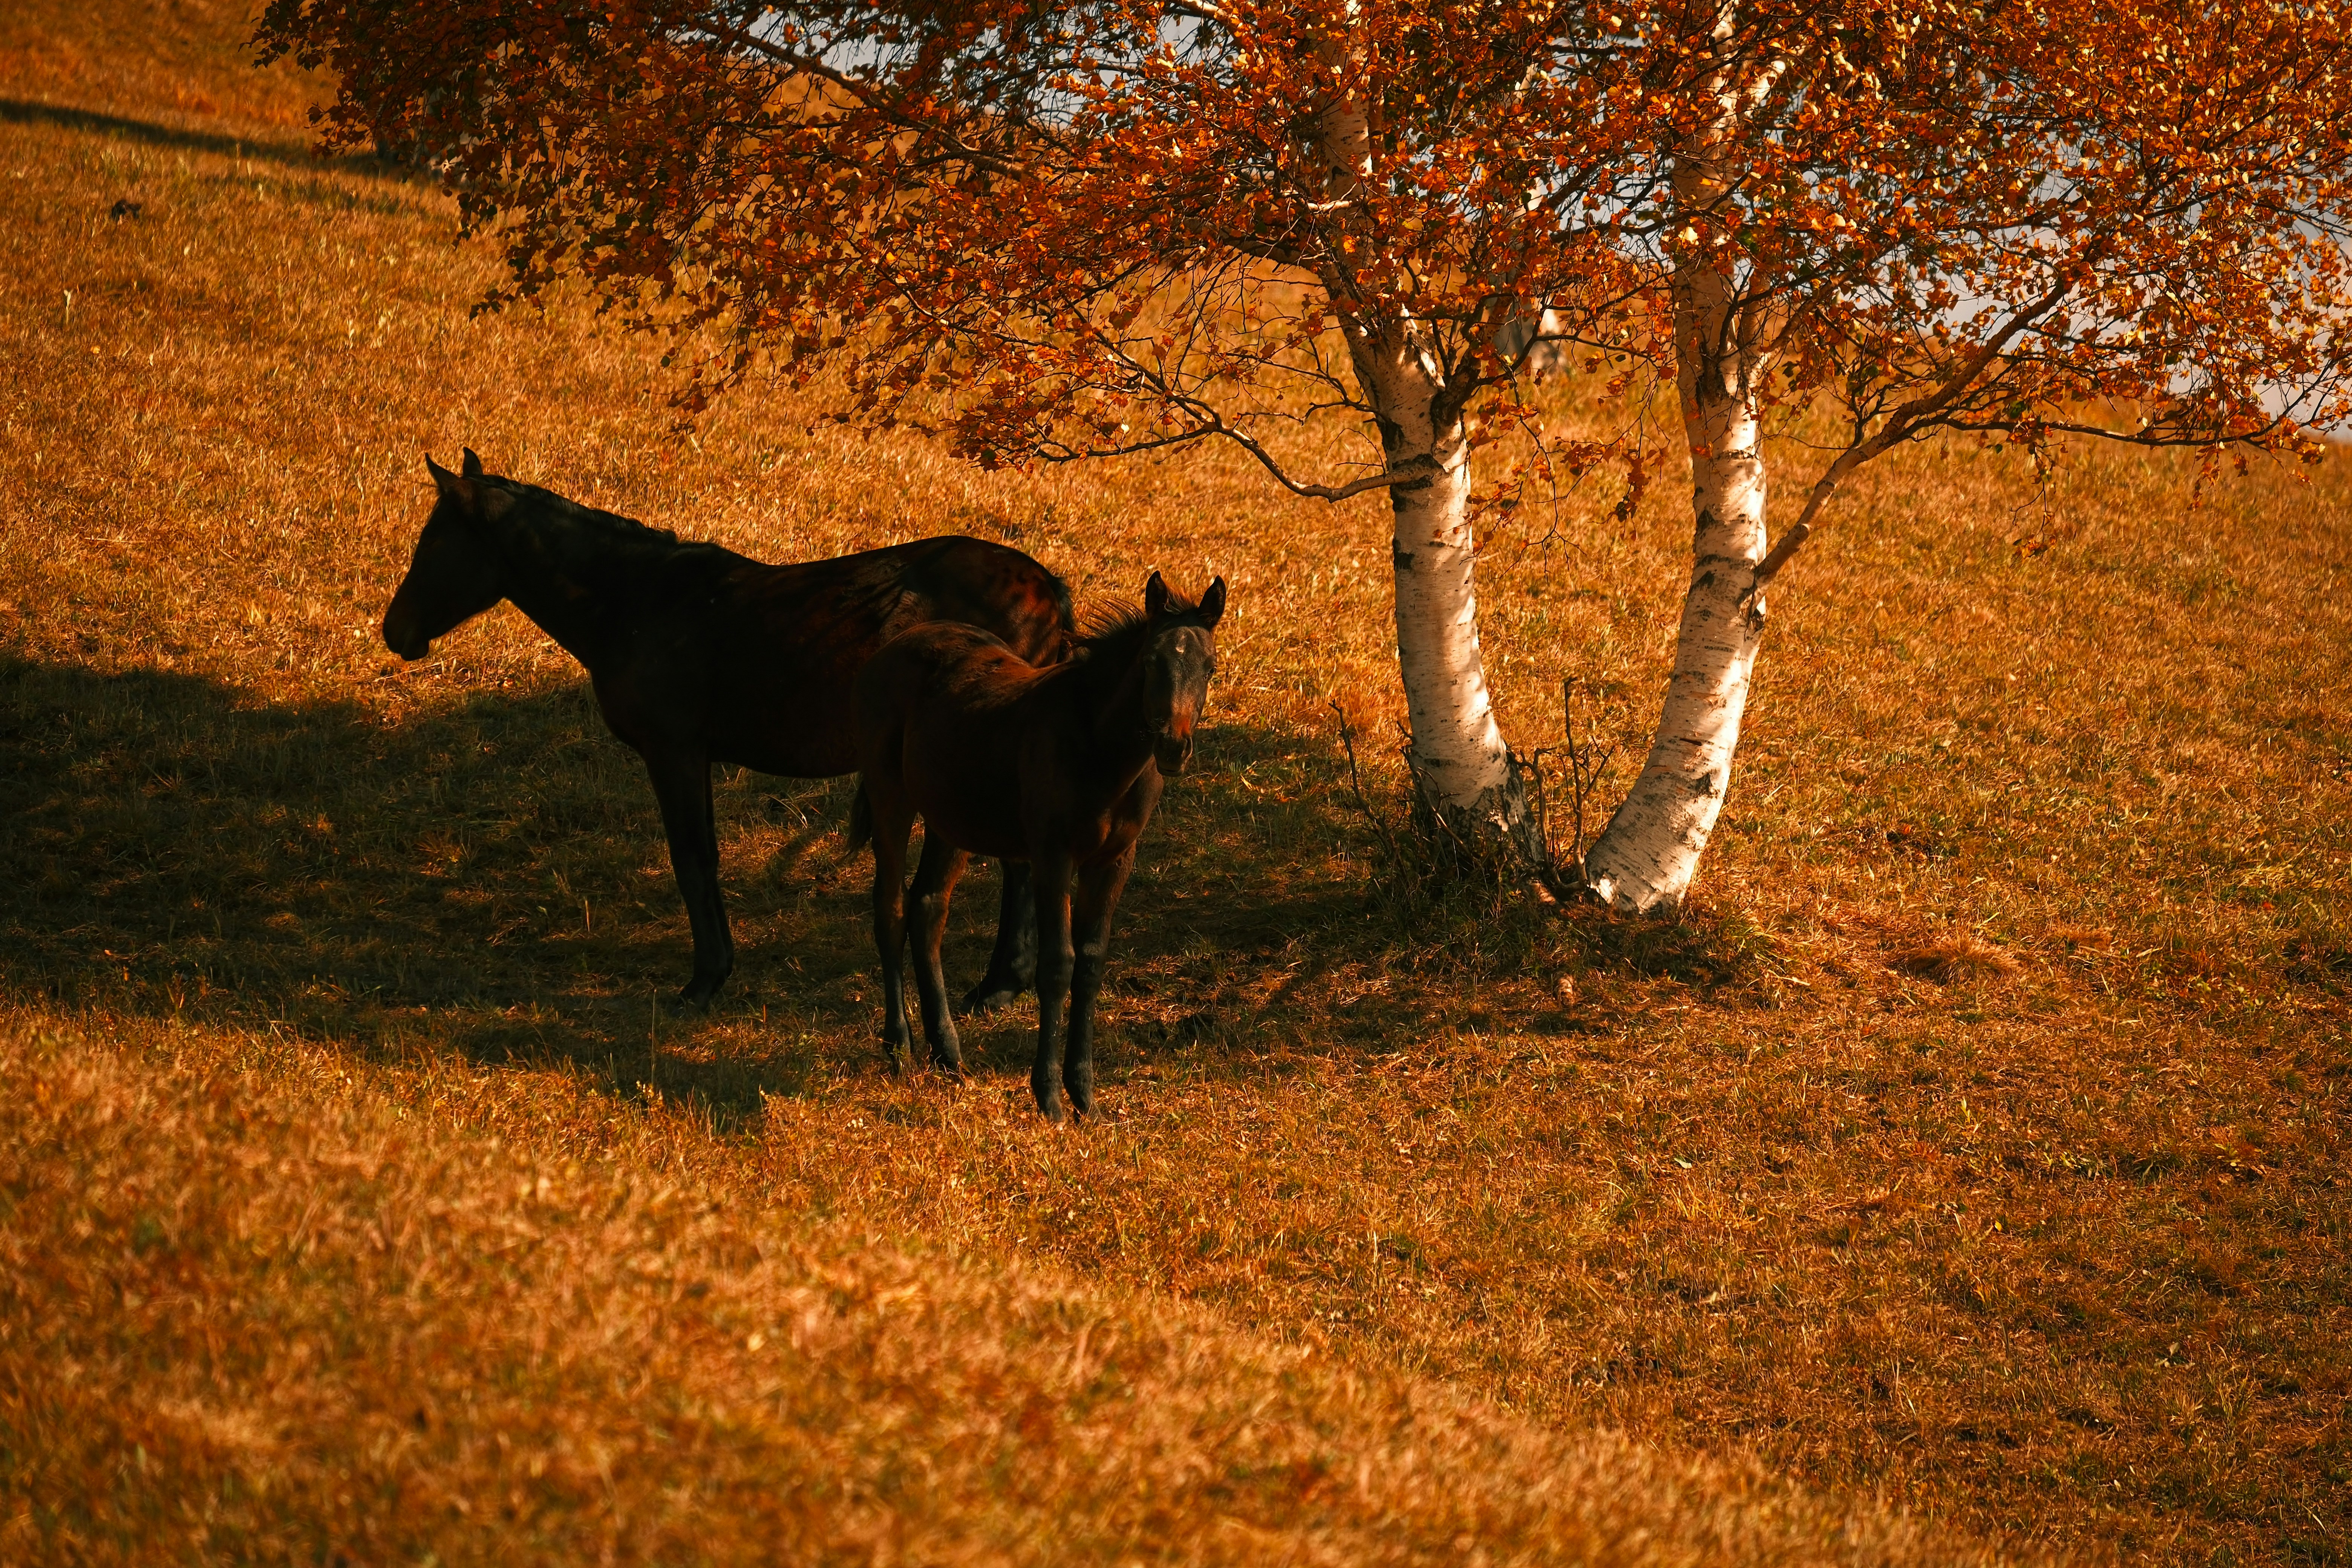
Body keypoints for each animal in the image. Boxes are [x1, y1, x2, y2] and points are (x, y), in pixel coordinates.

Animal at [381, 450, 1073, 1010]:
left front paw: (706, 981)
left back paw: (999, 987)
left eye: (434, 543)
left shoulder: (675, 754)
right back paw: (1001, 986)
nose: (395, 630)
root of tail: (1044, 585)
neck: (639, 602)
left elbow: (694, 859)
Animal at [846, 570, 1226, 1121]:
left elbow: (1090, 965)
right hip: (890, 797)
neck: (1098, 750)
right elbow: (1057, 965)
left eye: (1210, 666)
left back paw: (948, 1053)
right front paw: (1048, 1095)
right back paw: (899, 1047)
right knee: (891, 909)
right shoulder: (1053, 856)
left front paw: (1084, 1092)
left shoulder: (1113, 861)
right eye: (1152, 660)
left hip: (950, 821)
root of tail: (894, 647)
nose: (1174, 747)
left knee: (928, 910)